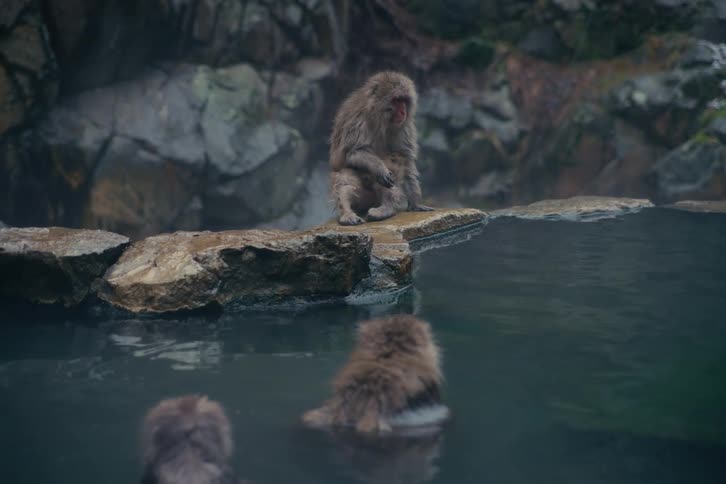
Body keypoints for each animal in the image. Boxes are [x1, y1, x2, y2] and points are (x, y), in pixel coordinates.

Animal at [329, 71, 434, 226]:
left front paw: (416, 203)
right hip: (363, 198)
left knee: (394, 159)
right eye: (396, 100)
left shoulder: (404, 127)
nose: (403, 112)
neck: (380, 120)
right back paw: (347, 214)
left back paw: (385, 208)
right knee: (346, 174)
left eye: (404, 101)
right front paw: (379, 168)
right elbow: (355, 152)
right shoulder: (357, 121)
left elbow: (406, 160)